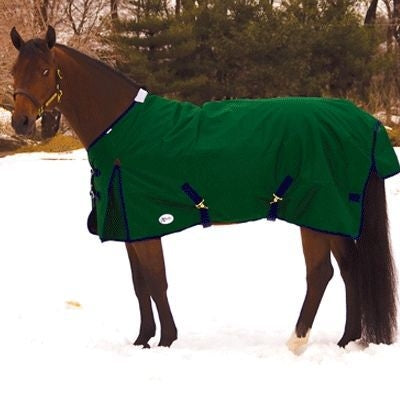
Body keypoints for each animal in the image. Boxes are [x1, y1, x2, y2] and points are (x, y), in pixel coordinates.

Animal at [9, 26, 398, 353]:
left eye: (45, 71)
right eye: (14, 71)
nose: (21, 122)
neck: (122, 130)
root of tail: (366, 121)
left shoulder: (149, 222)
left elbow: (156, 281)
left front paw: (166, 340)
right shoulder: (131, 227)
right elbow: (139, 285)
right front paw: (142, 340)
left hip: (314, 213)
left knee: (321, 274)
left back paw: (297, 342)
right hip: (333, 216)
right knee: (350, 269)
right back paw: (347, 339)